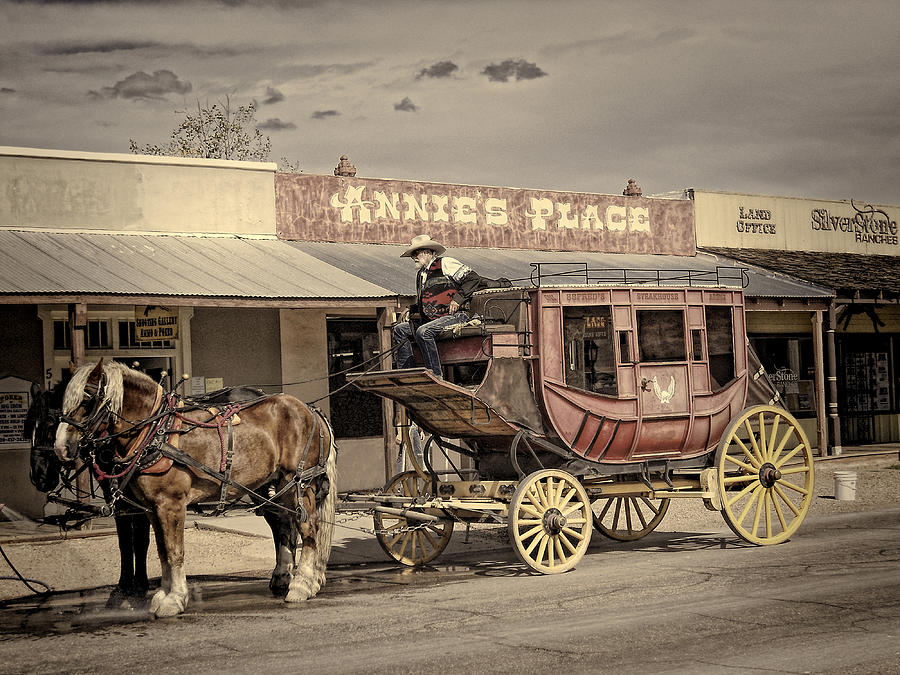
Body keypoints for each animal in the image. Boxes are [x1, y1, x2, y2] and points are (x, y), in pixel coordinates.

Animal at [25, 380, 151, 596]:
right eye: (30, 427)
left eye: (50, 425)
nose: (38, 477)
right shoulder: (116, 497)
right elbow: (125, 539)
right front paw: (125, 582)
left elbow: (140, 538)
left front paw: (140, 582)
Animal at [55, 362, 338, 620]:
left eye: (87, 398)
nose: (60, 447)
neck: (156, 431)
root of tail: (310, 409)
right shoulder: (152, 508)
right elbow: (162, 551)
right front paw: (164, 595)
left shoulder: (170, 503)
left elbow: (174, 551)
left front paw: (175, 599)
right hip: (279, 485)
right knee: (288, 525)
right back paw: (300, 580)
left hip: (300, 483)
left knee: (308, 529)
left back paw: (302, 585)